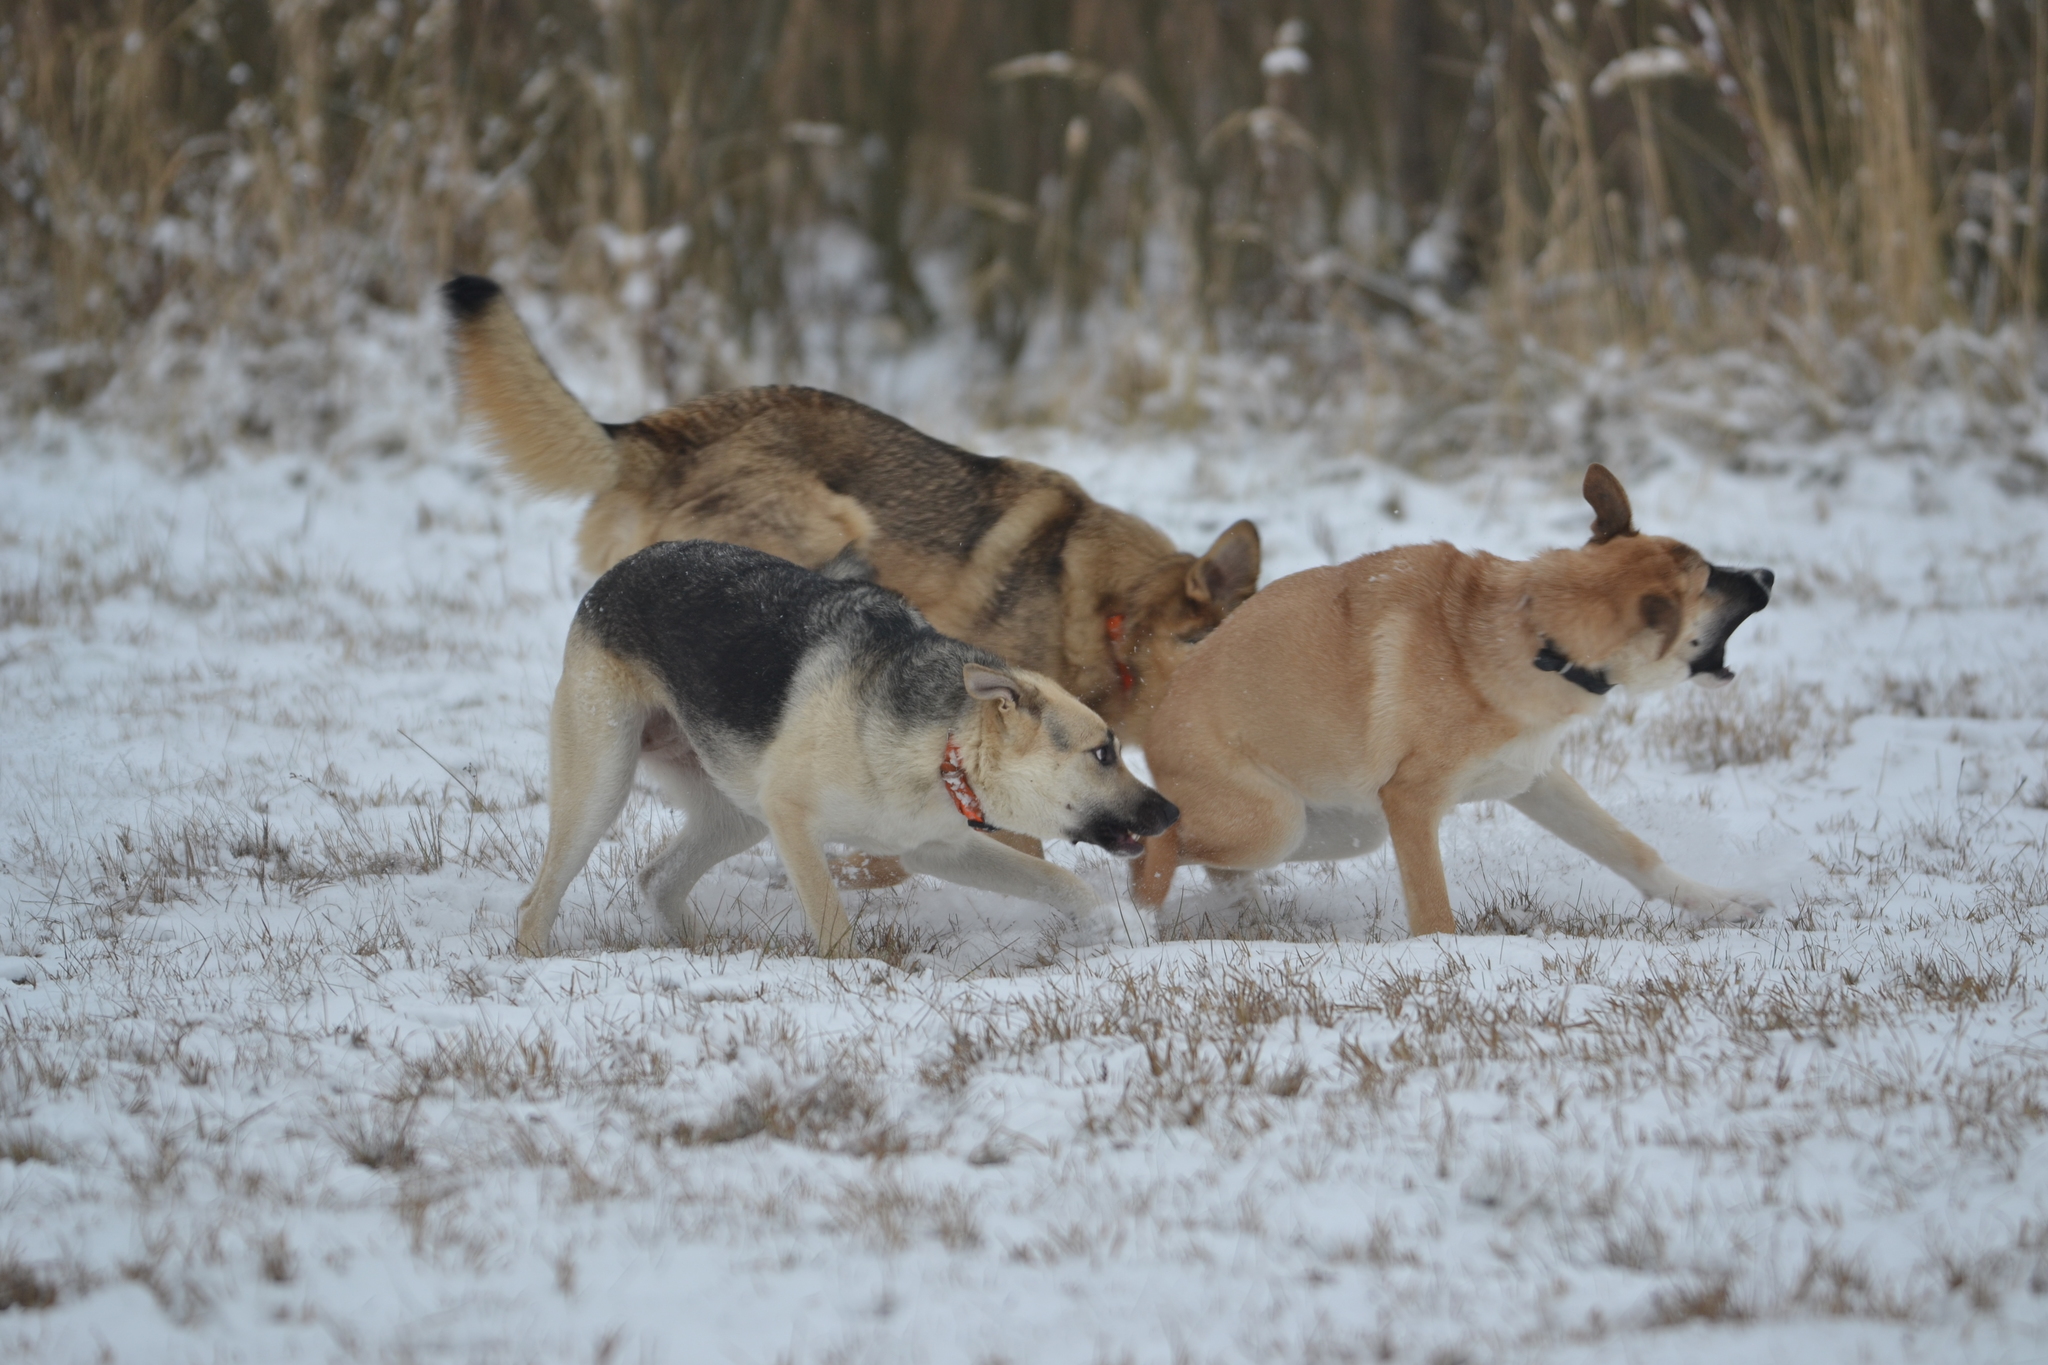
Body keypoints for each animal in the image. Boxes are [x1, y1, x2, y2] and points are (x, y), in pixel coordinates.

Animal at [520, 540, 1179, 957]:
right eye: (1103, 754)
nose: (1172, 812)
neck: (941, 748)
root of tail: (616, 573)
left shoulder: (937, 849)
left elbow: (1060, 881)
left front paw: (1112, 928)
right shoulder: (790, 818)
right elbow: (831, 918)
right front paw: (854, 975)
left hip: (735, 814)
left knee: (657, 878)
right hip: (605, 784)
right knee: (537, 901)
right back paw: (534, 958)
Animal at [1138, 464, 1777, 933]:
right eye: (1711, 580)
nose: (1768, 576)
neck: (1534, 637)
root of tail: (1162, 705)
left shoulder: (1536, 779)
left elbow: (1630, 850)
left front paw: (1717, 903)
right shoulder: (1411, 803)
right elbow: (1433, 910)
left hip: (1340, 828)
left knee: (1216, 870)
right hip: (1273, 821)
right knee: (1157, 850)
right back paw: (1141, 907)